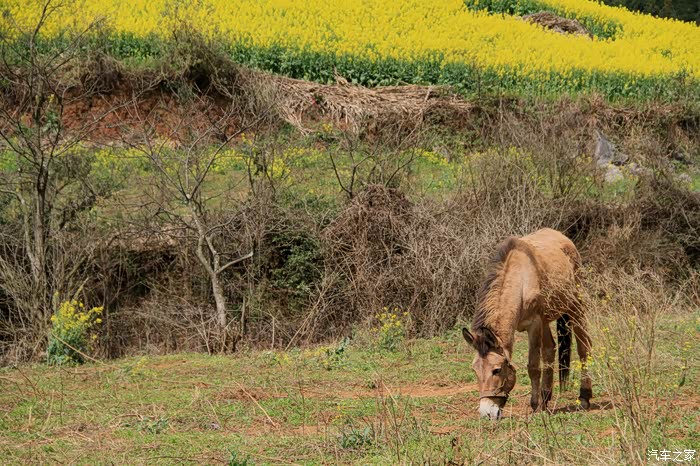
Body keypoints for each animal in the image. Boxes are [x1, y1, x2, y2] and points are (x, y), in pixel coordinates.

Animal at [462, 228, 592, 420]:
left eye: (497, 370)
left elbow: (533, 367)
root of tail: (564, 239)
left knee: (584, 348)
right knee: (550, 350)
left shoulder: (534, 325)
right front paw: (540, 404)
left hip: (575, 307)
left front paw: (535, 406)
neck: (520, 280)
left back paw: (584, 397)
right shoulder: (539, 322)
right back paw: (546, 397)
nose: (487, 413)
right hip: (547, 320)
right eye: (475, 370)